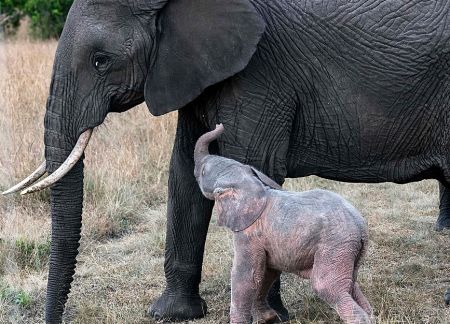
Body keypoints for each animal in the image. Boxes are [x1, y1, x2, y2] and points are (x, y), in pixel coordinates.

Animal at [193, 124, 372, 324]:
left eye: (203, 172)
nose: (219, 126)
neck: (251, 184)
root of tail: (361, 228)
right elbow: (266, 272)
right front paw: (268, 318)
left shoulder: (248, 233)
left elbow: (246, 276)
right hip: (347, 250)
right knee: (351, 285)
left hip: (335, 246)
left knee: (326, 285)